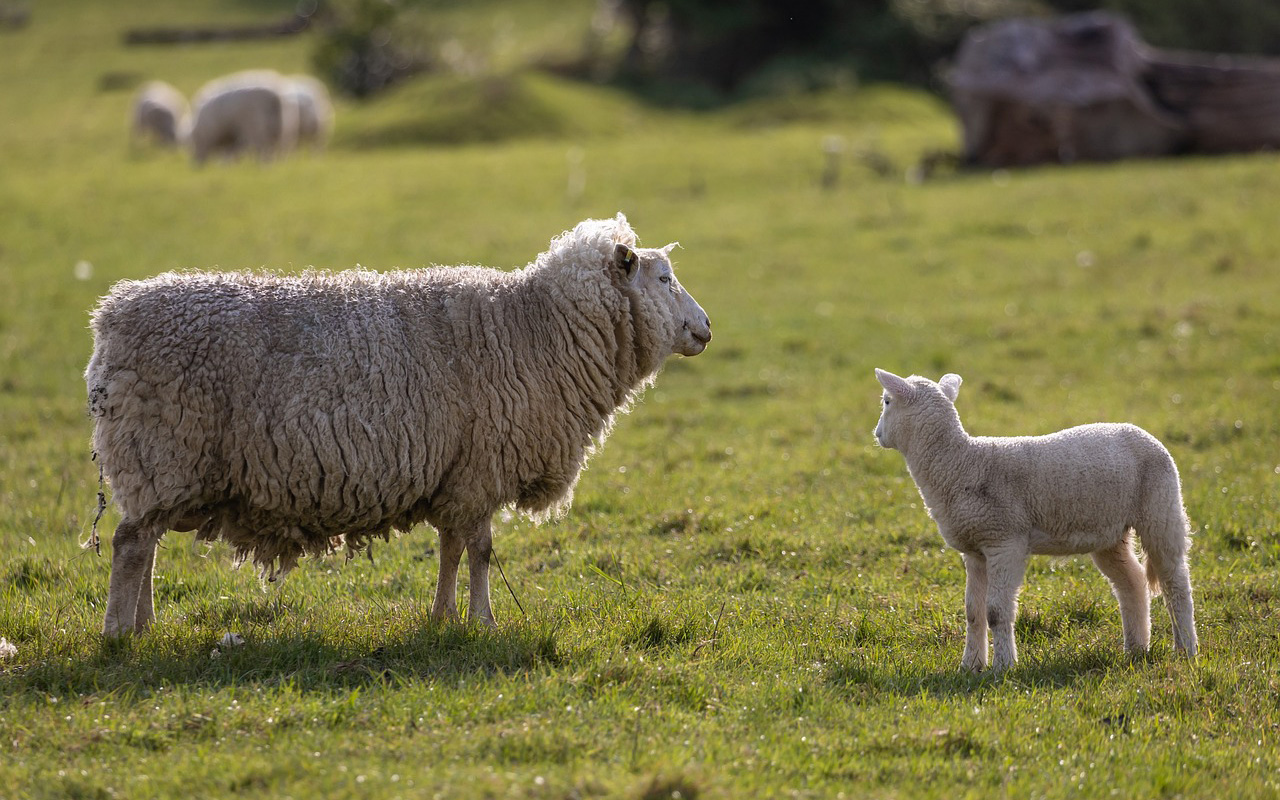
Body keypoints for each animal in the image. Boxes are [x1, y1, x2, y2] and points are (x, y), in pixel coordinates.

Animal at [86, 213, 716, 637]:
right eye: (663, 279)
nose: (707, 328)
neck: (534, 329)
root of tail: (112, 316)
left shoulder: (457, 473)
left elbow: (451, 549)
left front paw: (442, 616)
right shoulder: (482, 467)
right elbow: (481, 551)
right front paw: (483, 621)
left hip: (161, 466)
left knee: (146, 543)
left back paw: (144, 624)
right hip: (160, 450)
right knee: (129, 545)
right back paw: (119, 633)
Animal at [875, 368, 1192, 665]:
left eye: (887, 401)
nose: (877, 433)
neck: (960, 464)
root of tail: (1143, 433)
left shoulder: (1005, 542)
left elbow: (995, 612)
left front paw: (1003, 666)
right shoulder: (975, 550)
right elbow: (973, 613)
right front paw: (970, 667)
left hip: (1161, 509)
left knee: (1175, 581)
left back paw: (1186, 649)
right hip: (1109, 532)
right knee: (1132, 582)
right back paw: (1136, 649)